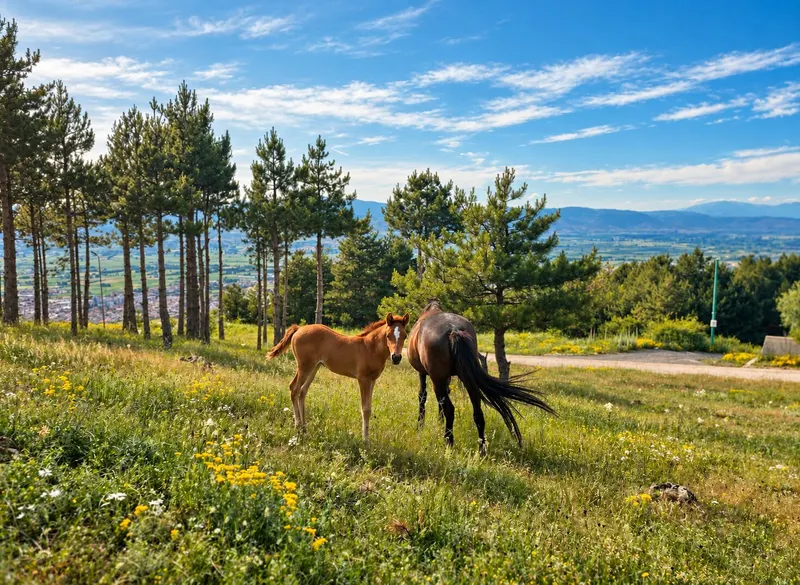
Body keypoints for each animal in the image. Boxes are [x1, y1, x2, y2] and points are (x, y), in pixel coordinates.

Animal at [267, 313, 410, 442]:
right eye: (388, 335)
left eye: (405, 336)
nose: (396, 357)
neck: (370, 348)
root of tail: (299, 328)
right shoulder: (363, 379)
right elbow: (365, 409)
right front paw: (365, 441)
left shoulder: (372, 380)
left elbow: (369, 408)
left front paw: (367, 439)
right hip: (304, 366)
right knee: (294, 388)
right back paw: (298, 427)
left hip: (314, 367)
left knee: (302, 391)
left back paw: (304, 428)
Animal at [407, 300, 556, 455]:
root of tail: (454, 329)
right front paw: (438, 422)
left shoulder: (423, 373)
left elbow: (422, 396)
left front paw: (420, 426)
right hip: (468, 380)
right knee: (477, 413)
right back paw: (481, 450)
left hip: (439, 380)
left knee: (449, 409)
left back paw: (449, 443)